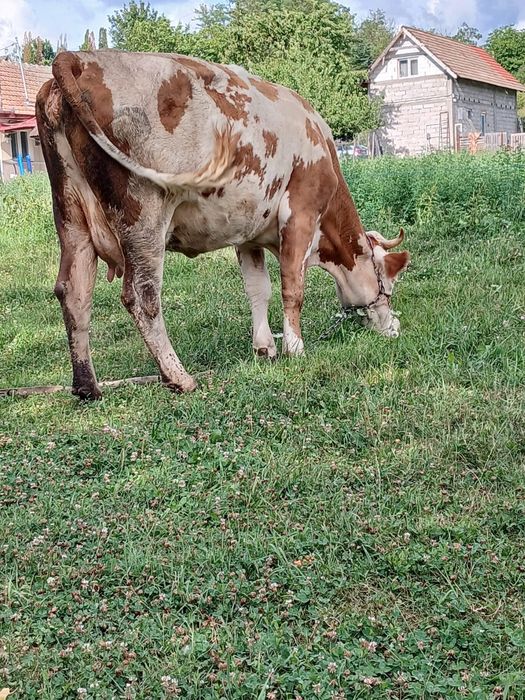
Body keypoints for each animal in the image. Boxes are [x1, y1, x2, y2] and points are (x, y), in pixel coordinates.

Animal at [36, 50, 410, 400]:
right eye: (386, 284)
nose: (395, 328)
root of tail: (78, 58)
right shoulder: (300, 215)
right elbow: (292, 288)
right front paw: (295, 348)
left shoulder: (248, 233)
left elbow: (258, 289)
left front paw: (264, 348)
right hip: (142, 214)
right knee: (141, 295)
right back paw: (179, 377)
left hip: (71, 215)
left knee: (74, 291)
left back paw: (87, 387)